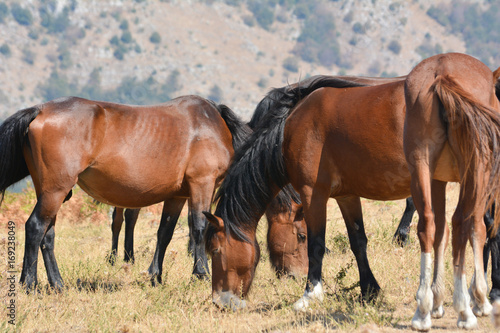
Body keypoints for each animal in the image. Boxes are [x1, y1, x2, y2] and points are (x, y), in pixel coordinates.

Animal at [0, 94, 250, 290]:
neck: (210, 125)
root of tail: (40, 110)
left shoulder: (177, 196)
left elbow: (164, 233)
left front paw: (155, 276)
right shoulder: (202, 184)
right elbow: (199, 227)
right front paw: (201, 274)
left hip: (48, 191)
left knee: (48, 234)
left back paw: (57, 284)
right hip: (55, 190)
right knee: (35, 227)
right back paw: (29, 284)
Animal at [404, 52, 500, 330]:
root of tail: (442, 73)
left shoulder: (438, 180)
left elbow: (439, 232)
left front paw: (436, 300)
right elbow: (479, 228)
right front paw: (480, 297)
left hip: (421, 165)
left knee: (428, 225)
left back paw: (422, 311)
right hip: (476, 170)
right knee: (462, 224)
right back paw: (464, 310)